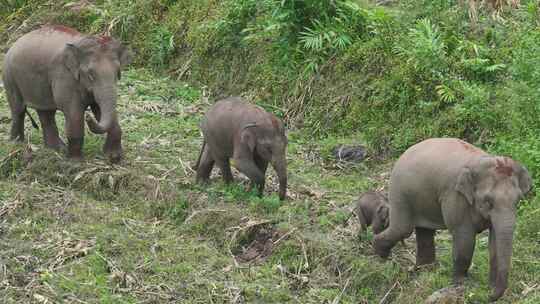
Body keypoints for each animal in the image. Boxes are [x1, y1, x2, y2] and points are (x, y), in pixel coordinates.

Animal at [2, 25, 131, 163]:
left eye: (117, 73)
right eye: (90, 75)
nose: (88, 116)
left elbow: (100, 109)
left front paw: (114, 157)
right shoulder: (64, 76)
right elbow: (74, 114)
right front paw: (75, 162)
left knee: (46, 113)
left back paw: (56, 149)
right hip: (9, 77)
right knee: (18, 110)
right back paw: (16, 144)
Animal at [372, 138, 532, 302]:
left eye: (518, 200)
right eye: (488, 201)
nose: (488, 295)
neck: (480, 161)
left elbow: (494, 241)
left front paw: (491, 285)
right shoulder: (455, 196)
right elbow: (464, 238)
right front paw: (461, 284)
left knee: (424, 232)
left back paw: (425, 270)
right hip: (400, 193)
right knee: (403, 229)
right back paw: (382, 258)